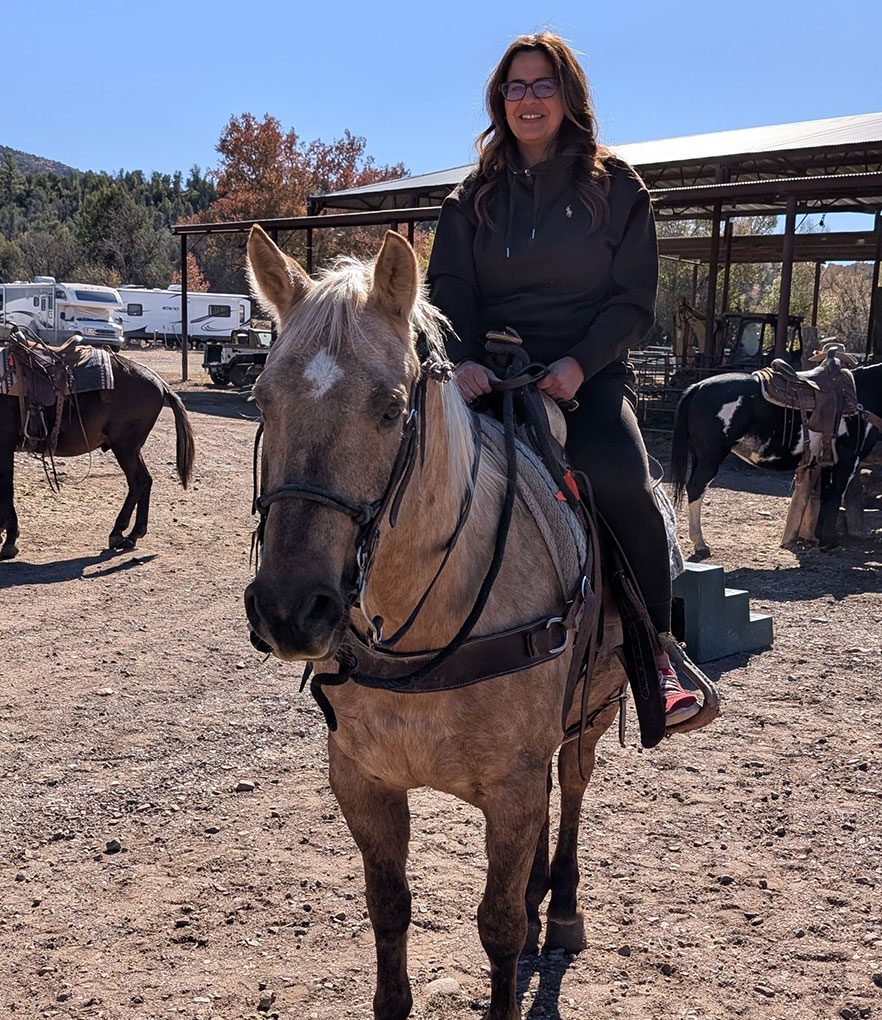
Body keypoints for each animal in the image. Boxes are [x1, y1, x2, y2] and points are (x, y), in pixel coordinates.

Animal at [0, 354, 195, 558]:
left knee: (139, 480)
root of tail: (158, 381)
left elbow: (6, 487)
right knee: (144, 481)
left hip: (125, 447)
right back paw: (134, 533)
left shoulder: (5, 445)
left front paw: (10, 538)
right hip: (131, 448)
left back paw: (120, 532)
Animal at [243, 224, 665, 1020]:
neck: (428, 631)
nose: (289, 610)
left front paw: (527, 924)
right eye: (261, 399)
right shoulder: (365, 782)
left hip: (592, 715)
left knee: (572, 791)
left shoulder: (512, 787)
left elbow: (497, 929)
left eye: (389, 407)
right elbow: (389, 910)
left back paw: (561, 907)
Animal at [669, 365, 882, 557]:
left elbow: (825, 495)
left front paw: (817, 538)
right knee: (696, 488)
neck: (863, 395)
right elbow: (835, 496)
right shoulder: (847, 460)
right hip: (710, 459)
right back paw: (700, 544)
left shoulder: (827, 462)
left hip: (699, 457)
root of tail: (697, 387)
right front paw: (829, 542)